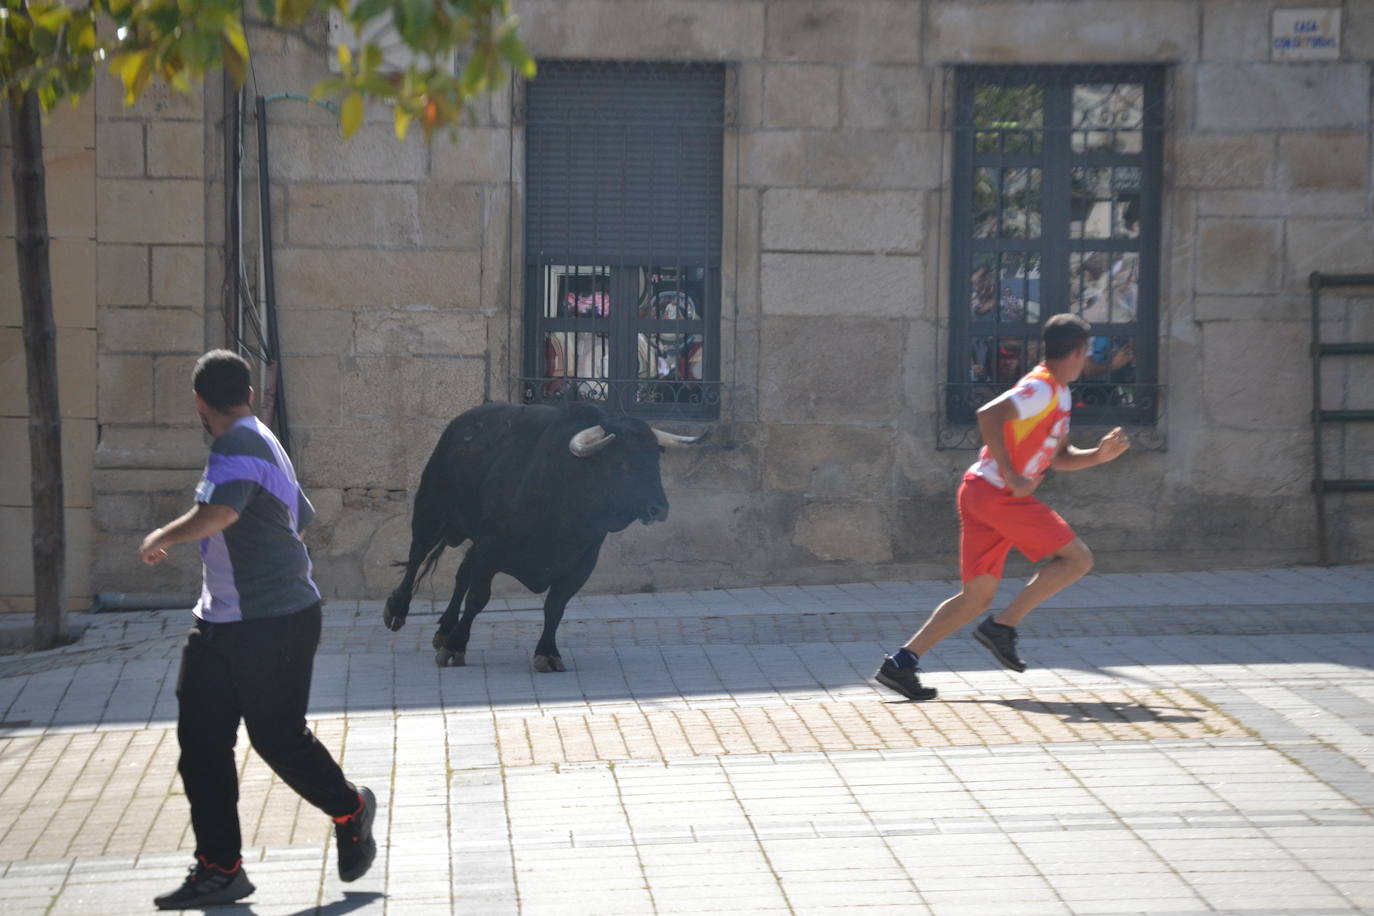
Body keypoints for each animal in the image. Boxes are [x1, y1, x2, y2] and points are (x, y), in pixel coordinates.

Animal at [387, 403, 708, 670]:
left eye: (654, 459)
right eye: (621, 462)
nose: (659, 508)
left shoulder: (581, 563)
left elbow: (555, 607)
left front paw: (548, 653)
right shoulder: (490, 549)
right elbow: (478, 598)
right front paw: (456, 647)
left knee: (462, 571)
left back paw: (444, 629)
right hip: (431, 510)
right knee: (417, 555)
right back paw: (398, 610)